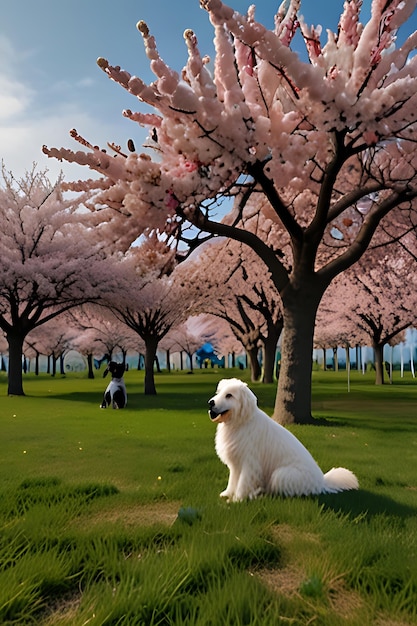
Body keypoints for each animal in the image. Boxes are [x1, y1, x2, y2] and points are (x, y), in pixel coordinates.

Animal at [208, 378, 358, 500]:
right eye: (219, 392)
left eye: (229, 395)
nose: (210, 402)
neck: (241, 422)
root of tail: (322, 482)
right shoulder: (236, 463)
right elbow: (232, 480)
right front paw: (227, 494)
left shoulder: (249, 463)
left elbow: (243, 483)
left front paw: (237, 499)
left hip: (280, 474)